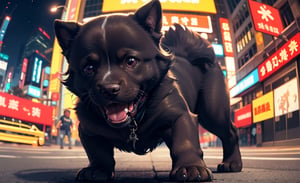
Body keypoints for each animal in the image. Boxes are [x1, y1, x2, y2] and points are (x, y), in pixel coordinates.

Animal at [54, 0, 243, 182]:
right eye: (89, 68)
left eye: (131, 61)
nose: (109, 88)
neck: (134, 121)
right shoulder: (88, 129)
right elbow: (98, 153)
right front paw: (98, 170)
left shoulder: (180, 115)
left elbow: (185, 142)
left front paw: (190, 167)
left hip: (212, 112)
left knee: (230, 132)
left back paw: (232, 163)